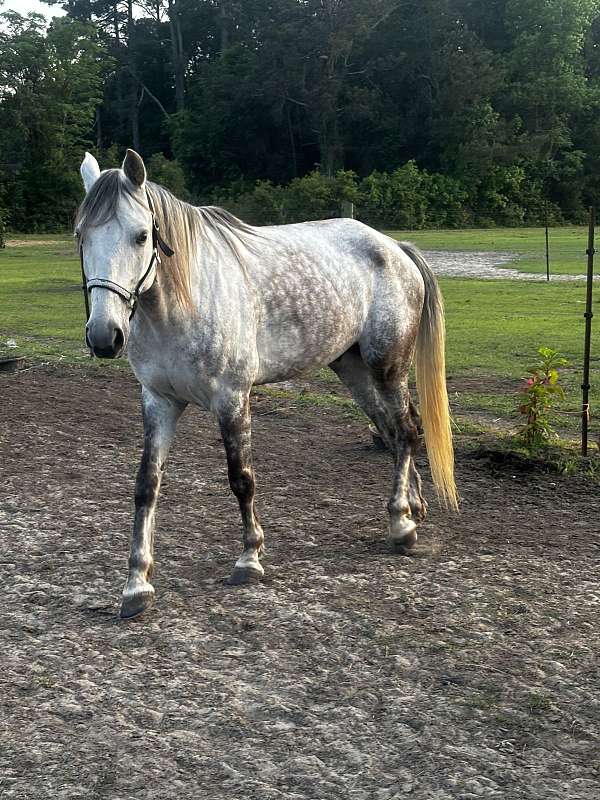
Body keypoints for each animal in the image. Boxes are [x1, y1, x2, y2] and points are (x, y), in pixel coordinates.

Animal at [76, 149, 457, 619]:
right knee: (397, 432)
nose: (104, 335)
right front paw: (136, 584)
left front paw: (250, 558)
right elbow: (146, 486)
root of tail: (394, 248)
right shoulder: (158, 401)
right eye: (81, 235)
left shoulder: (232, 398)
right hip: (354, 372)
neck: (181, 301)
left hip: (387, 368)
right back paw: (413, 508)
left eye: (141, 235)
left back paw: (401, 524)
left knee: (404, 432)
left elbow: (241, 478)